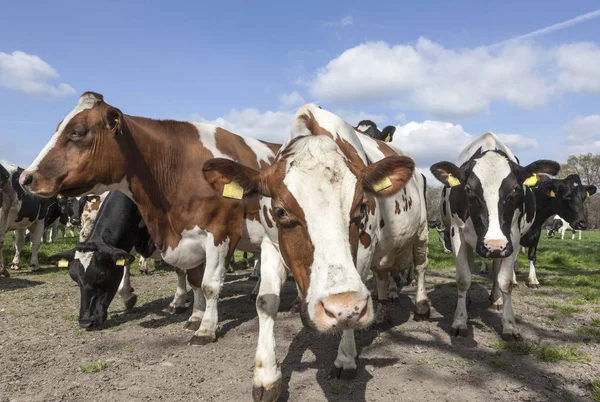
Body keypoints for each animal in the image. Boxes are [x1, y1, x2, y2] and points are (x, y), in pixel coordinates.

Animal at [204, 104, 428, 402]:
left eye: (361, 206)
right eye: (280, 211)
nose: (337, 308)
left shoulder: (365, 245)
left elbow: (353, 308)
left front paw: (346, 358)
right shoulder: (271, 244)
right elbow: (266, 302)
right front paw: (266, 377)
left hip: (422, 231)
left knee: (421, 266)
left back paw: (422, 306)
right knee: (382, 273)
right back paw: (382, 314)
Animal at [428, 133, 560, 340]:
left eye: (515, 189)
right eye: (468, 189)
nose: (494, 245)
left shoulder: (512, 237)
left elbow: (505, 281)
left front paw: (509, 325)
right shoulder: (456, 233)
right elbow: (463, 279)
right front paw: (460, 321)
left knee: (497, 270)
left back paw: (496, 299)